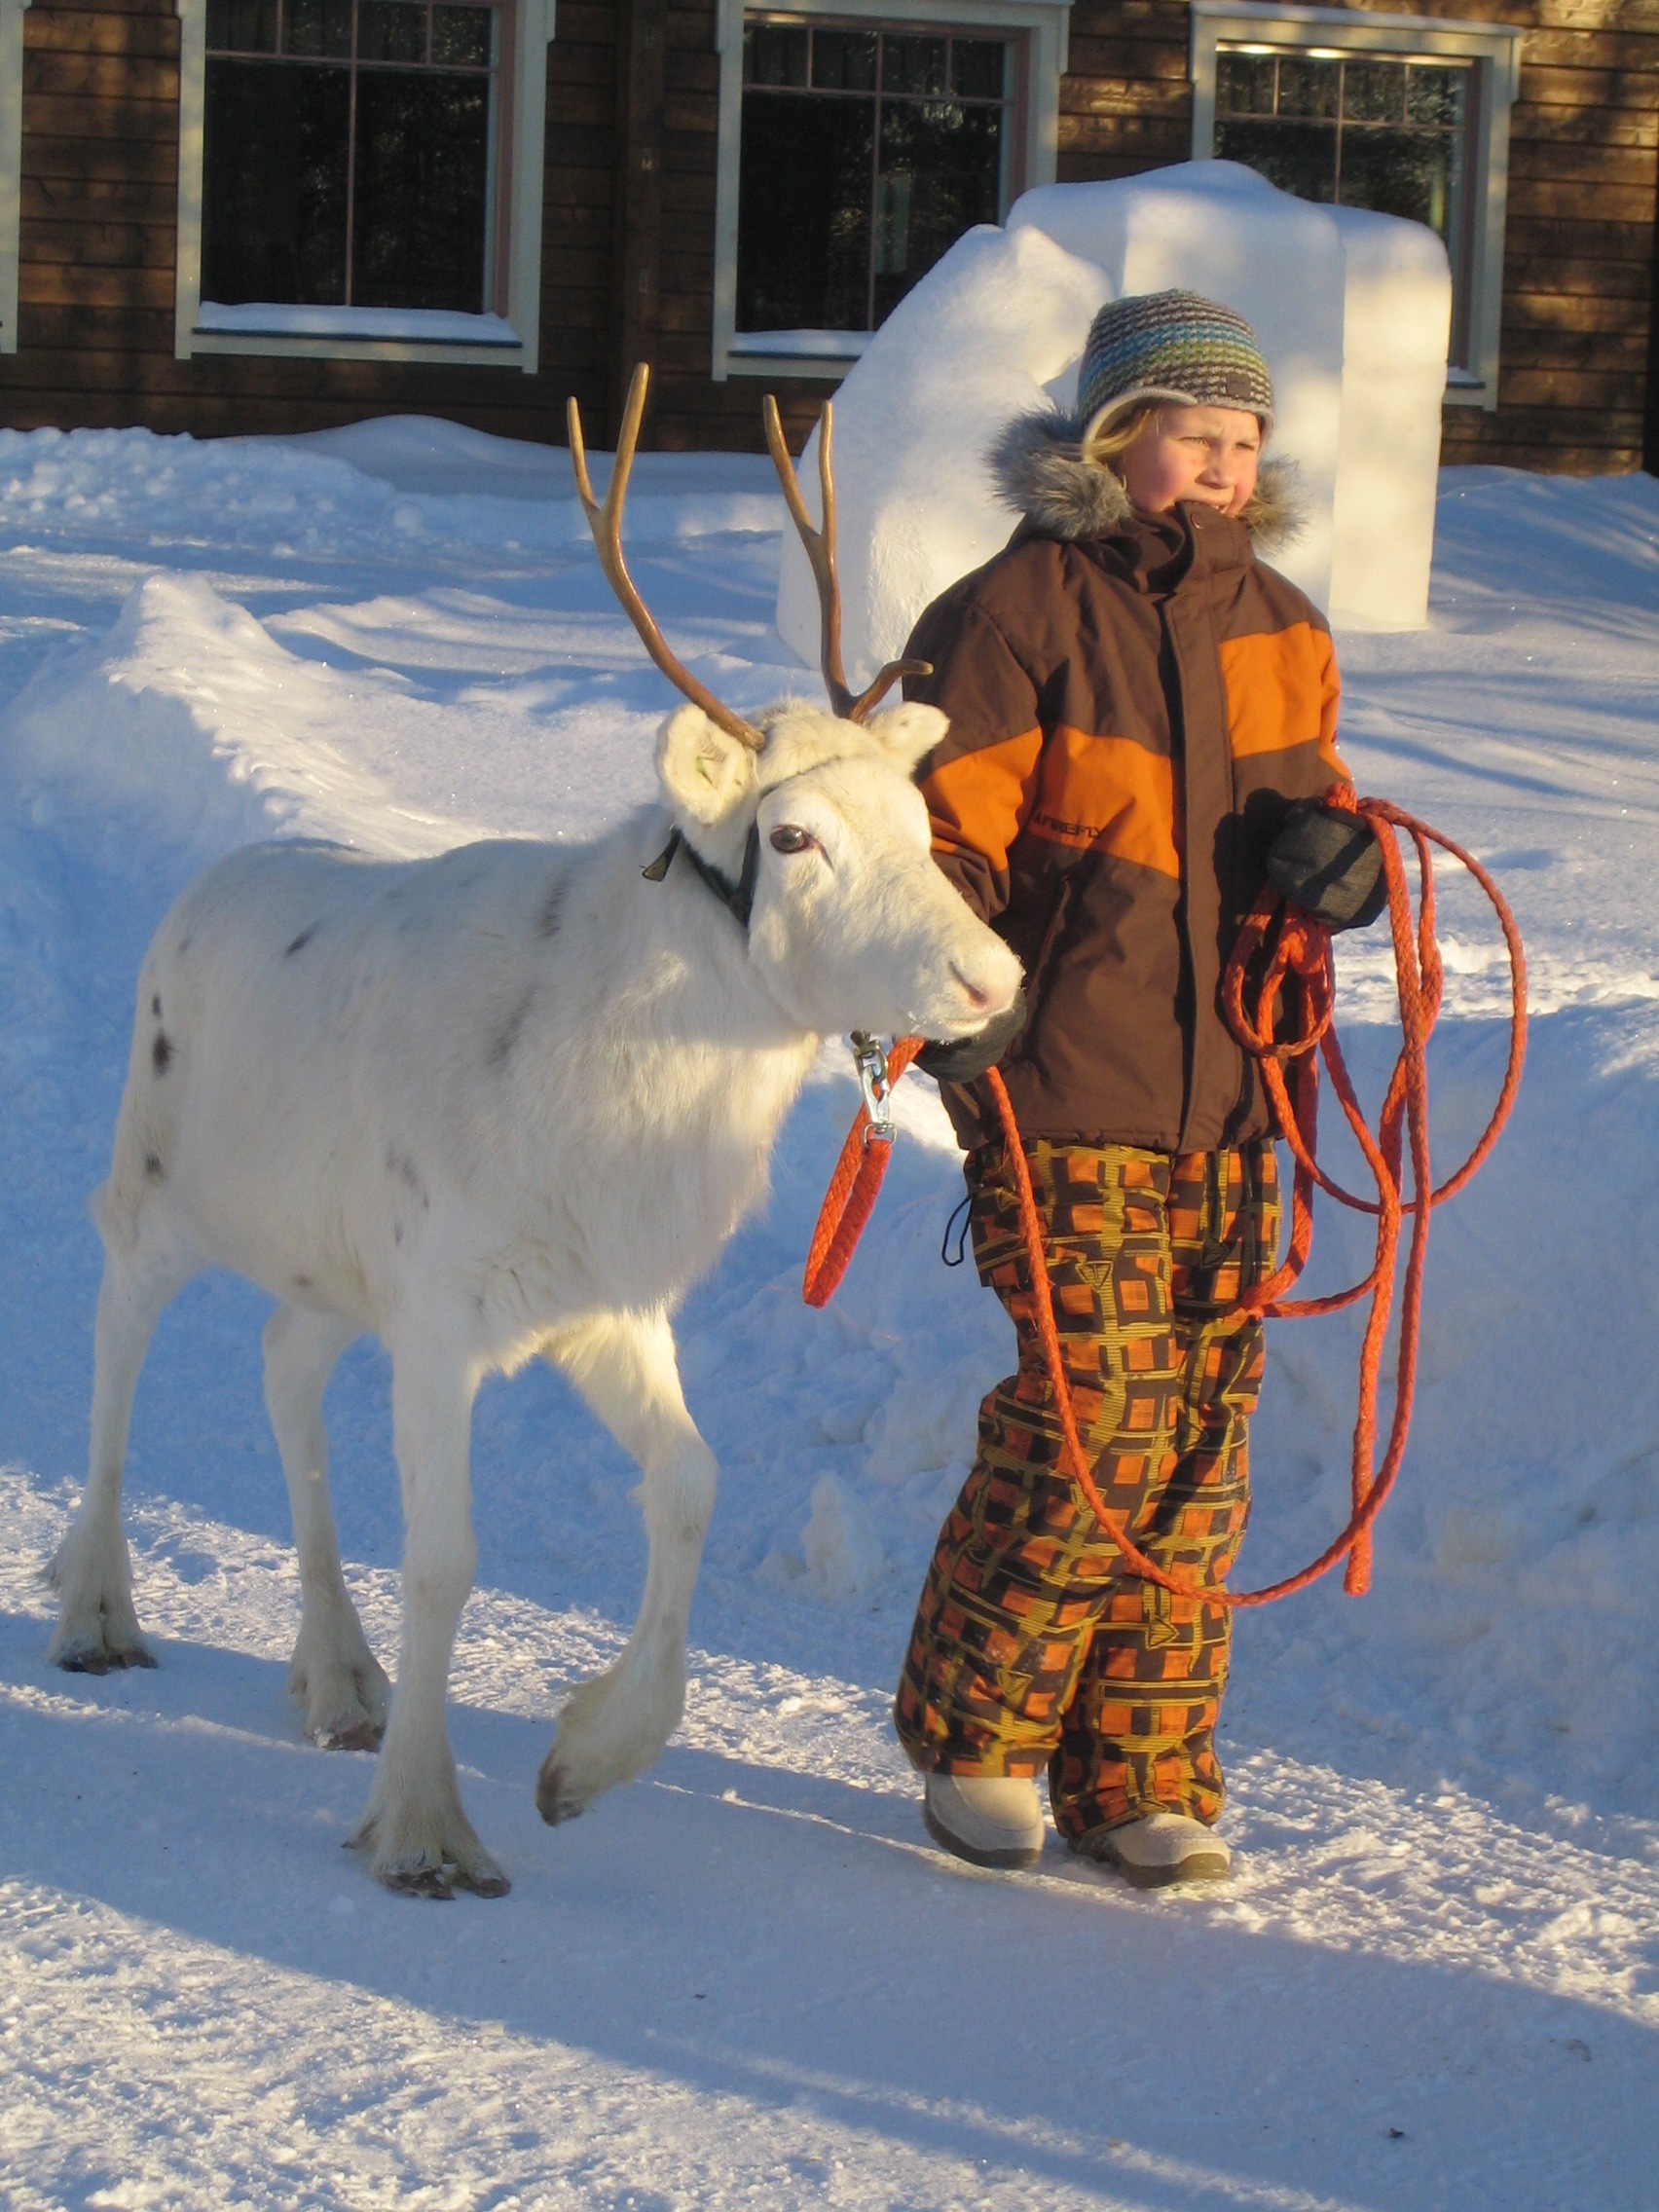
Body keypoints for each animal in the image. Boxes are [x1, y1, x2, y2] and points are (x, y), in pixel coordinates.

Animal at [44, 366, 1023, 1898]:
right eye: (792, 835)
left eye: (920, 819)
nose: (991, 976)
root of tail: (201, 889)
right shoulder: (446, 1310)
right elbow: (447, 1558)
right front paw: (426, 1826)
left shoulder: (599, 1303)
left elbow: (688, 1483)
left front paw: (585, 1760)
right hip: (155, 1189)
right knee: (114, 1347)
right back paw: (98, 1609)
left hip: (335, 1278)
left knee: (281, 1365)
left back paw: (340, 1676)